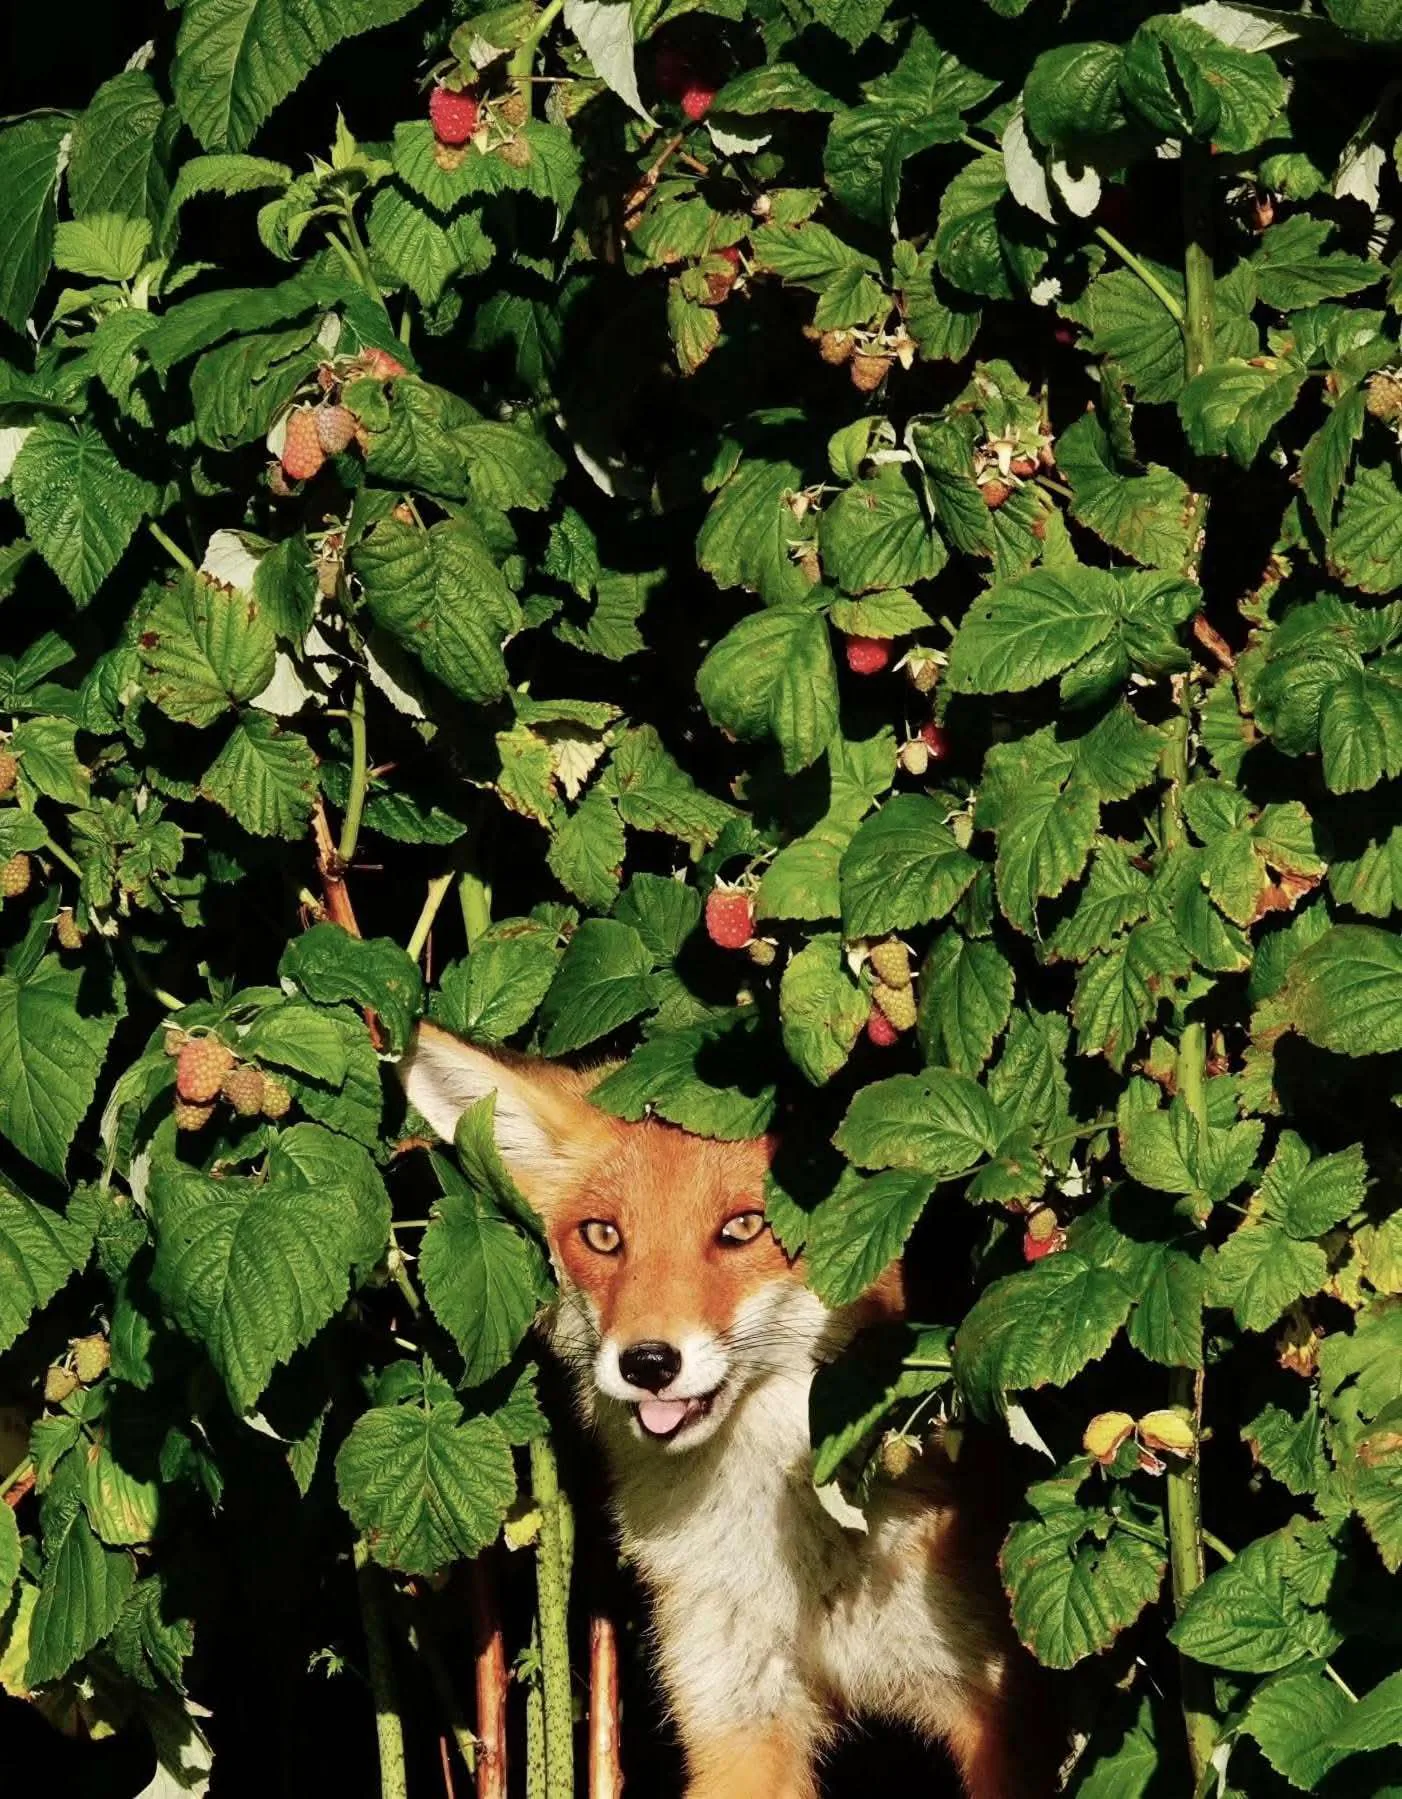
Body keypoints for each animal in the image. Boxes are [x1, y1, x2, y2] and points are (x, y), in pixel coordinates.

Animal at [402, 1022, 1063, 1799]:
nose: (647, 1363)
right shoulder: (735, 1712)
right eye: (603, 1236)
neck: (797, 1556)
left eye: (744, 1228)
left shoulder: (993, 1703)